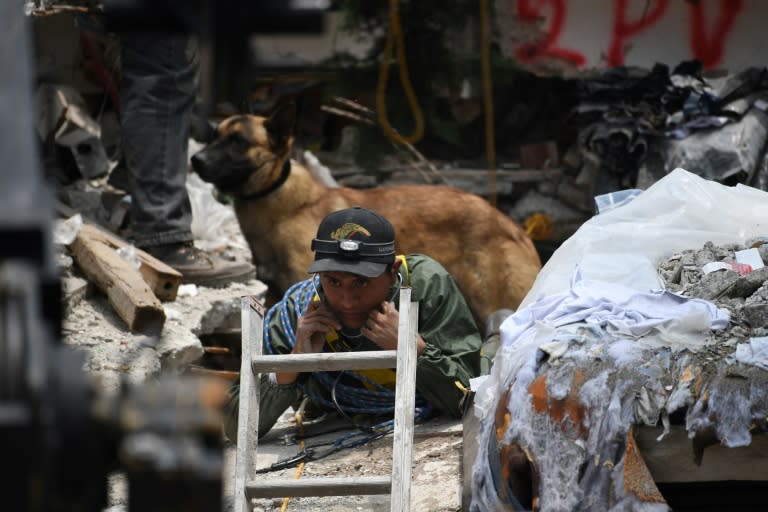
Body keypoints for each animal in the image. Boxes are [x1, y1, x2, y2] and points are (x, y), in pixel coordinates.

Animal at [191, 105, 540, 330]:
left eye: (239, 141)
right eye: (213, 137)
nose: (195, 160)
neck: (281, 206)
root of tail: (513, 226)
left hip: (495, 303)